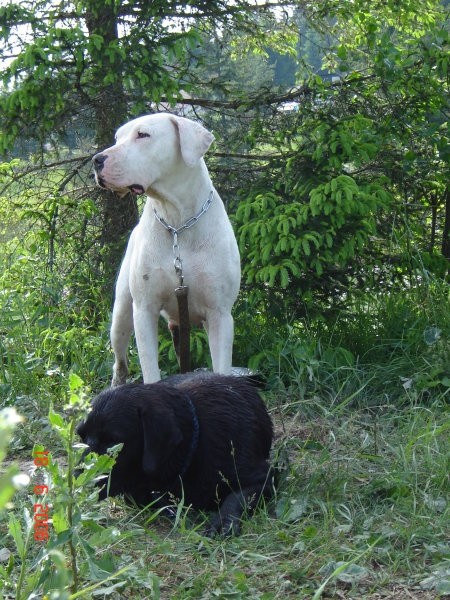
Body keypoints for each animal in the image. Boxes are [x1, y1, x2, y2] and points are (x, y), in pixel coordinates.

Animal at [76, 372, 274, 536]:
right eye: (80, 436)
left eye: (113, 442)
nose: (77, 482)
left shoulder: (265, 477)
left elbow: (236, 498)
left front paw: (224, 520)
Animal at [92, 113, 243, 384]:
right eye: (117, 138)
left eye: (143, 135)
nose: (97, 159)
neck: (177, 223)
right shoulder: (144, 310)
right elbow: (150, 370)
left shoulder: (220, 315)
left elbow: (222, 367)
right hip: (121, 317)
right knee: (120, 361)